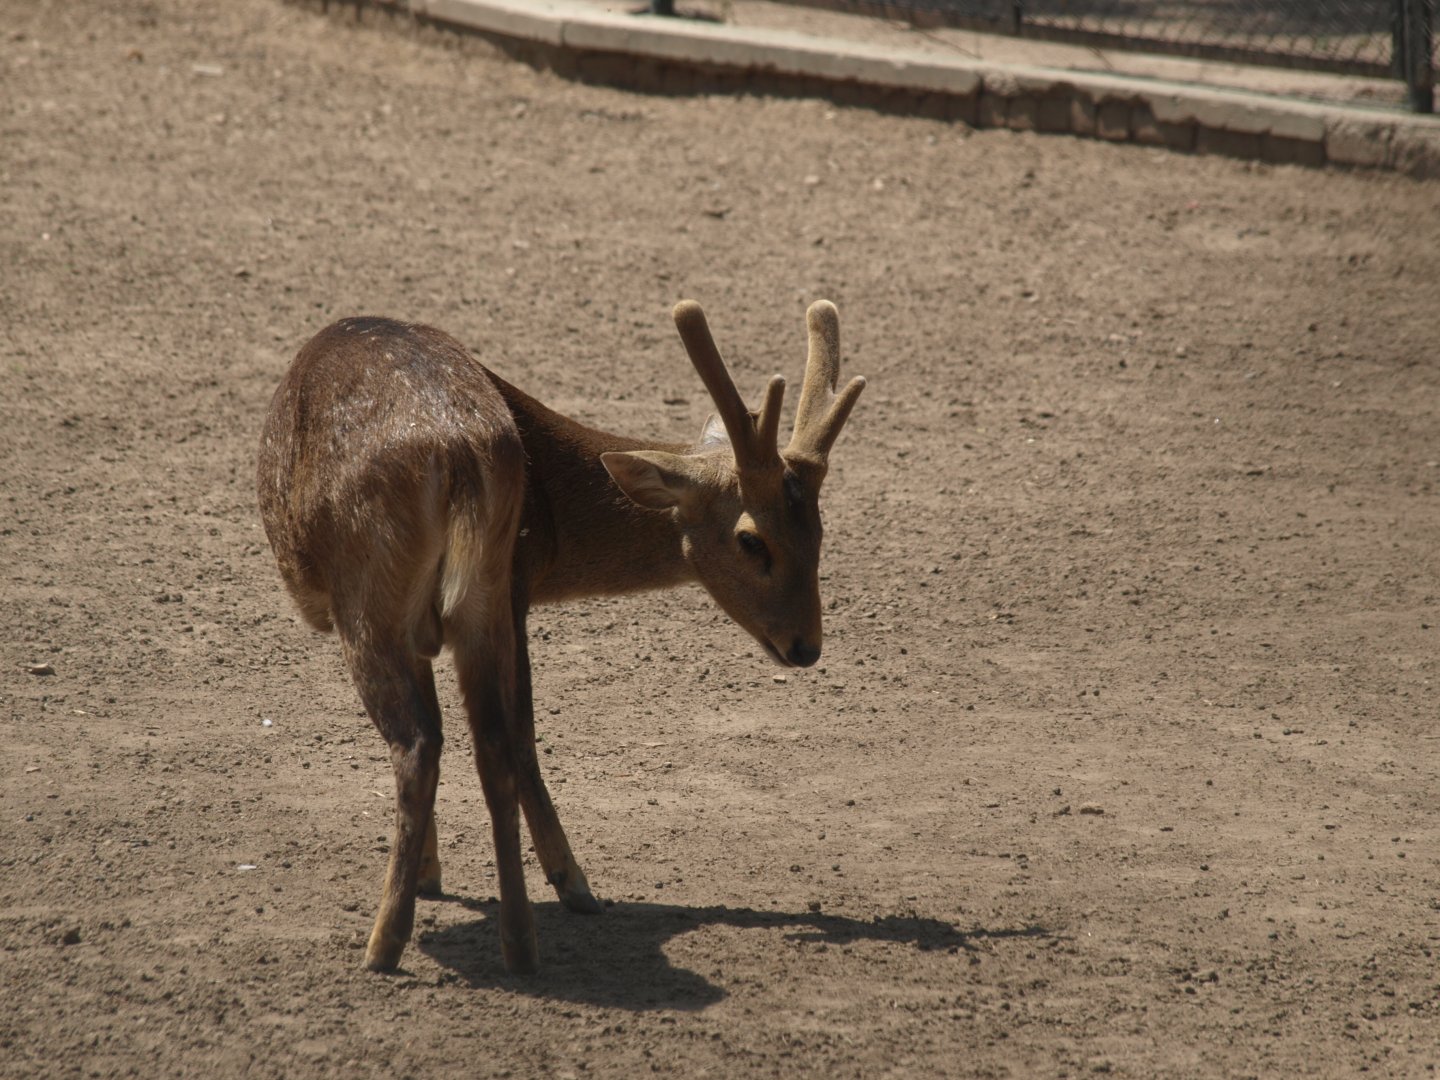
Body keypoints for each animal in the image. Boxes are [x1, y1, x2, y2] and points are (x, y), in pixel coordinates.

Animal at [256, 299, 865, 975]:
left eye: (817, 532)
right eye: (754, 539)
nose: (807, 645)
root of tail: (458, 455)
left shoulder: (507, 587)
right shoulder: (512, 586)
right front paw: (442, 874)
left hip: (373, 593)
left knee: (424, 742)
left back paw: (390, 942)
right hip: (481, 593)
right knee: (492, 741)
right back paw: (521, 940)